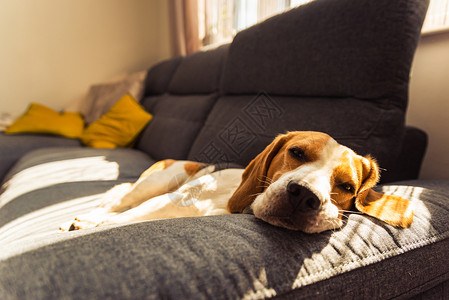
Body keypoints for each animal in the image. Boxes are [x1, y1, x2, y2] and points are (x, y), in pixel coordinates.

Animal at [60, 132, 412, 234]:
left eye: (348, 187)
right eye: (296, 152)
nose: (303, 196)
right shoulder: (170, 199)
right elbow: (121, 217)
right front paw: (94, 223)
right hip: (161, 181)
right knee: (118, 203)